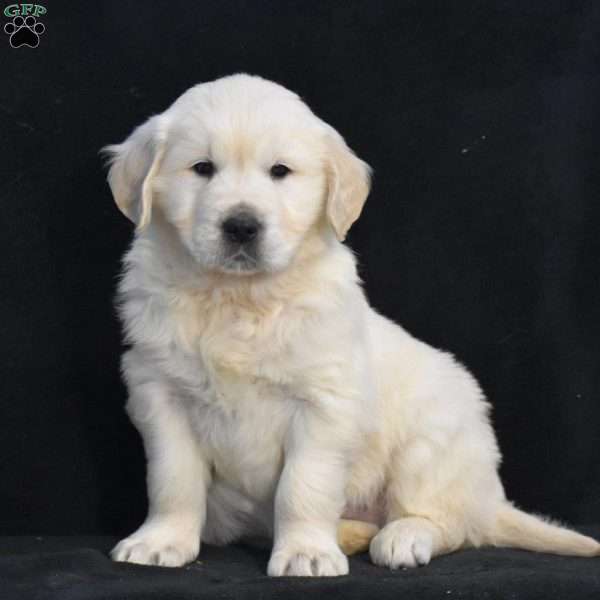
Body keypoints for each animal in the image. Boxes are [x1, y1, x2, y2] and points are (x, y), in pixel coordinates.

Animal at [104, 72, 600, 576]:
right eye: (201, 168)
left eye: (280, 172)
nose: (241, 226)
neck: (239, 299)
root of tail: (488, 498)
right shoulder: (160, 393)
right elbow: (173, 479)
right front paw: (161, 541)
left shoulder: (324, 402)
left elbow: (302, 485)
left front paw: (305, 552)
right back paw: (352, 532)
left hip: (431, 444)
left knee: (448, 523)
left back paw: (400, 537)